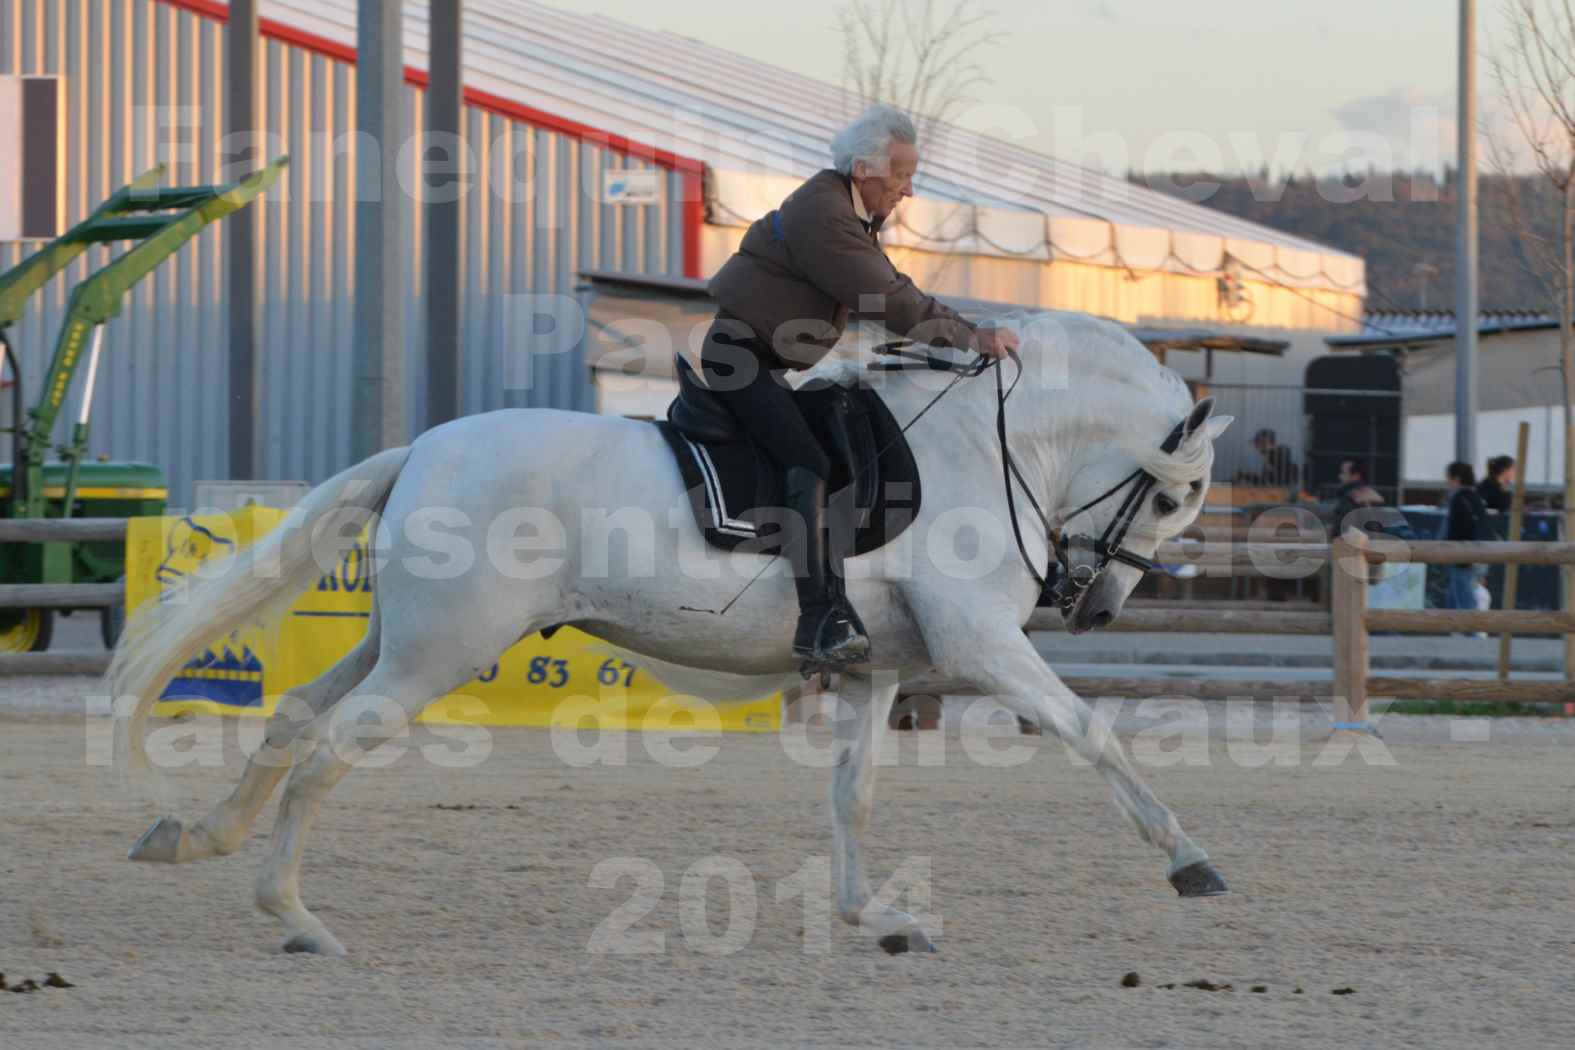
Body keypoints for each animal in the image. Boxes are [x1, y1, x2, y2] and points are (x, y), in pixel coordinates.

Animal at [114, 308, 1241, 957]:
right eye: (1173, 498)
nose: (1095, 604)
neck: (980, 444)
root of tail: (421, 451)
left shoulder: (877, 672)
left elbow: (853, 798)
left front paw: (875, 919)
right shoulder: (983, 652)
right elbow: (1091, 732)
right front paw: (1189, 859)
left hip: (395, 644)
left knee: (293, 720)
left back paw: (194, 837)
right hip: (437, 656)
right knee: (325, 755)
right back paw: (294, 917)